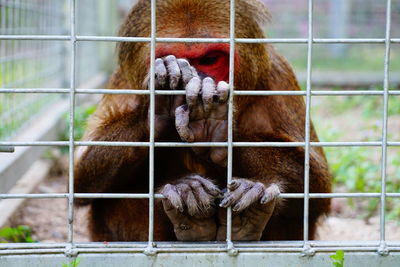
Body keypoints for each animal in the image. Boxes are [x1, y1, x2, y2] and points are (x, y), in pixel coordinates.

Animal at [73, 0, 330, 243]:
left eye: (210, 59)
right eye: (177, 58)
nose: (199, 79)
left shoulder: (277, 75)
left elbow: (316, 187)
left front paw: (215, 128)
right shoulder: (123, 81)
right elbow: (81, 179)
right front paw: (161, 105)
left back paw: (244, 219)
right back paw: (193, 212)